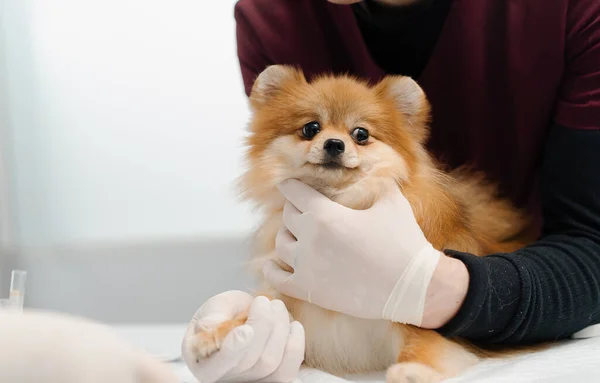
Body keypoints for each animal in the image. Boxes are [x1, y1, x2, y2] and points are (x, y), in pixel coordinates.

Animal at [191, 64, 536, 382]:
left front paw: (412, 370)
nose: (334, 144)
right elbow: (260, 312)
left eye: (361, 134)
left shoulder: (418, 315)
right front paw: (218, 335)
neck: (342, 201)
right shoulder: (294, 297)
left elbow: (421, 341)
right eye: (311, 128)